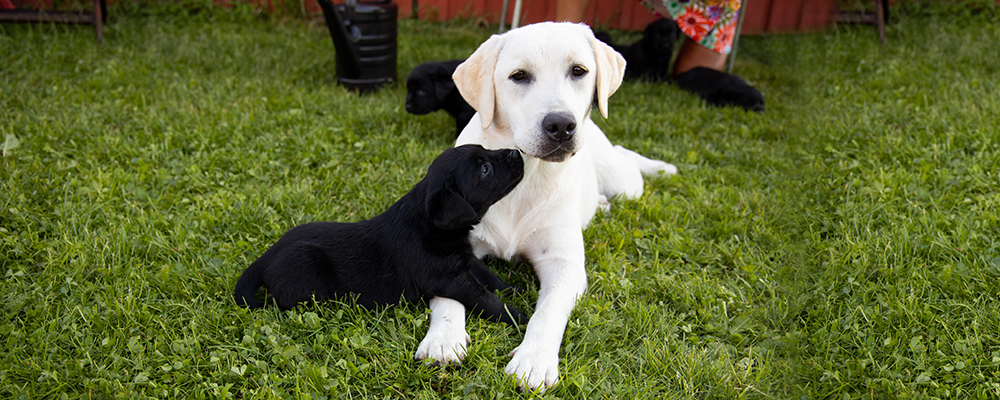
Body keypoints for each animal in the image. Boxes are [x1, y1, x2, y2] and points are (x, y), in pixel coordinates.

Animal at [232, 145, 532, 326]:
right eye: (484, 169)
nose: (517, 152)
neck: (431, 227)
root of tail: (267, 255)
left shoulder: (464, 258)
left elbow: (488, 277)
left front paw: (513, 289)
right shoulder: (450, 278)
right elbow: (485, 297)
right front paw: (516, 315)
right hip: (304, 271)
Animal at [414, 21, 680, 390]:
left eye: (579, 71)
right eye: (519, 76)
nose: (561, 125)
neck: (522, 178)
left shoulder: (564, 266)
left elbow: (548, 312)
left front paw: (534, 360)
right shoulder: (451, 243)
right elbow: (448, 293)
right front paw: (444, 337)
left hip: (626, 185)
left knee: (626, 157)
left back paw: (659, 168)